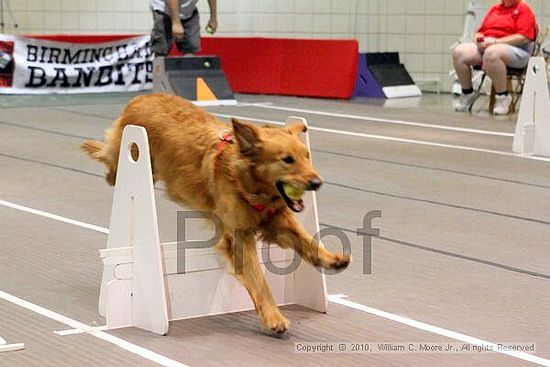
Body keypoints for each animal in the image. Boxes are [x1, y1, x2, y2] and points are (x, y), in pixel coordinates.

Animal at [82, 93, 350, 334]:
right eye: (287, 159)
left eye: (307, 156)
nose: (317, 183)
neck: (248, 183)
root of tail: (140, 98)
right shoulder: (240, 238)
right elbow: (259, 281)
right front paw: (274, 317)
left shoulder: (278, 221)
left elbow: (307, 241)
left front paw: (332, 259)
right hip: (134, 155)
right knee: (110, 161)